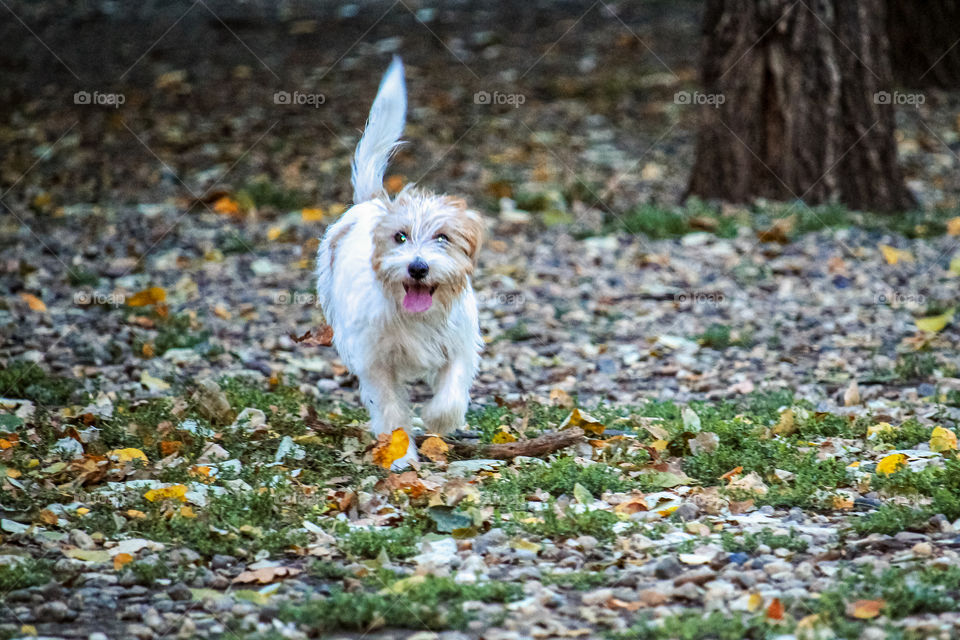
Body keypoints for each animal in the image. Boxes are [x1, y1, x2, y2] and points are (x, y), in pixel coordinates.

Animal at [316, 58, 484, 470]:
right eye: (400, 237)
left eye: (443, 237)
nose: (418, 268)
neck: (415, 317)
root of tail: (373, 201)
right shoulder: (376, 363)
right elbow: (390, 408)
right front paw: (400, 455)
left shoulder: (460, 344)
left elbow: (452, 391)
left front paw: (438, 420)